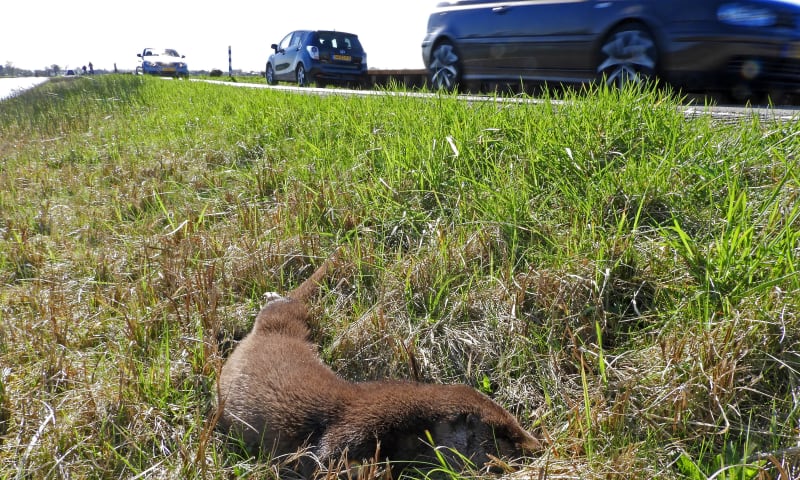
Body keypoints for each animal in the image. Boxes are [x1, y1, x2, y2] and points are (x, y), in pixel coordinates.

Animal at [216, 256, 540, 474]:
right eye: (505, 435)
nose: (536, 448)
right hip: (283, 317)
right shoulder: (357, 426)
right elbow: (323, 458)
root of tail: (272, 328)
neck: (411, 424)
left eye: (517, 423)